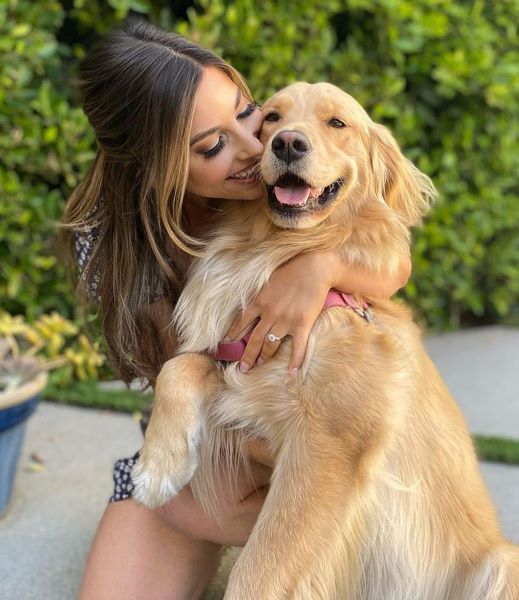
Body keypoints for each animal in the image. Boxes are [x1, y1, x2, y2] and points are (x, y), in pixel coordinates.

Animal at [133, 82, 519, 596]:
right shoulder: (246, 369)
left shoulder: (332, 441)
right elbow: (180, 365)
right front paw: (157, 466)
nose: (288, 143)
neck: (277, 251)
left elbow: (259, 568)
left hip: (501, 564)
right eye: (271, 118)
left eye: (337, 123)